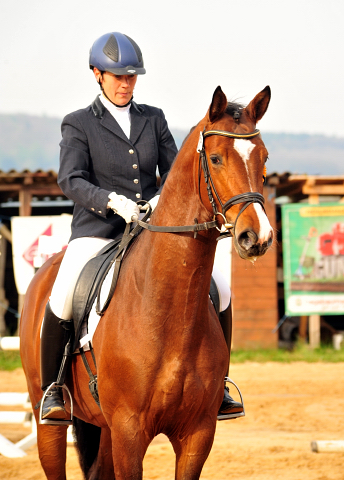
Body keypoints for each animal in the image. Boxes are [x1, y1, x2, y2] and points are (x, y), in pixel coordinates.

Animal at [20, 86, 272, 480]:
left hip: (105, 427)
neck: (168, 310)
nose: (257, 237)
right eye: (216, 159)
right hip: (48, 419)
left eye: (263, 158)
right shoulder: (129, 431)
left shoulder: (197, 433)